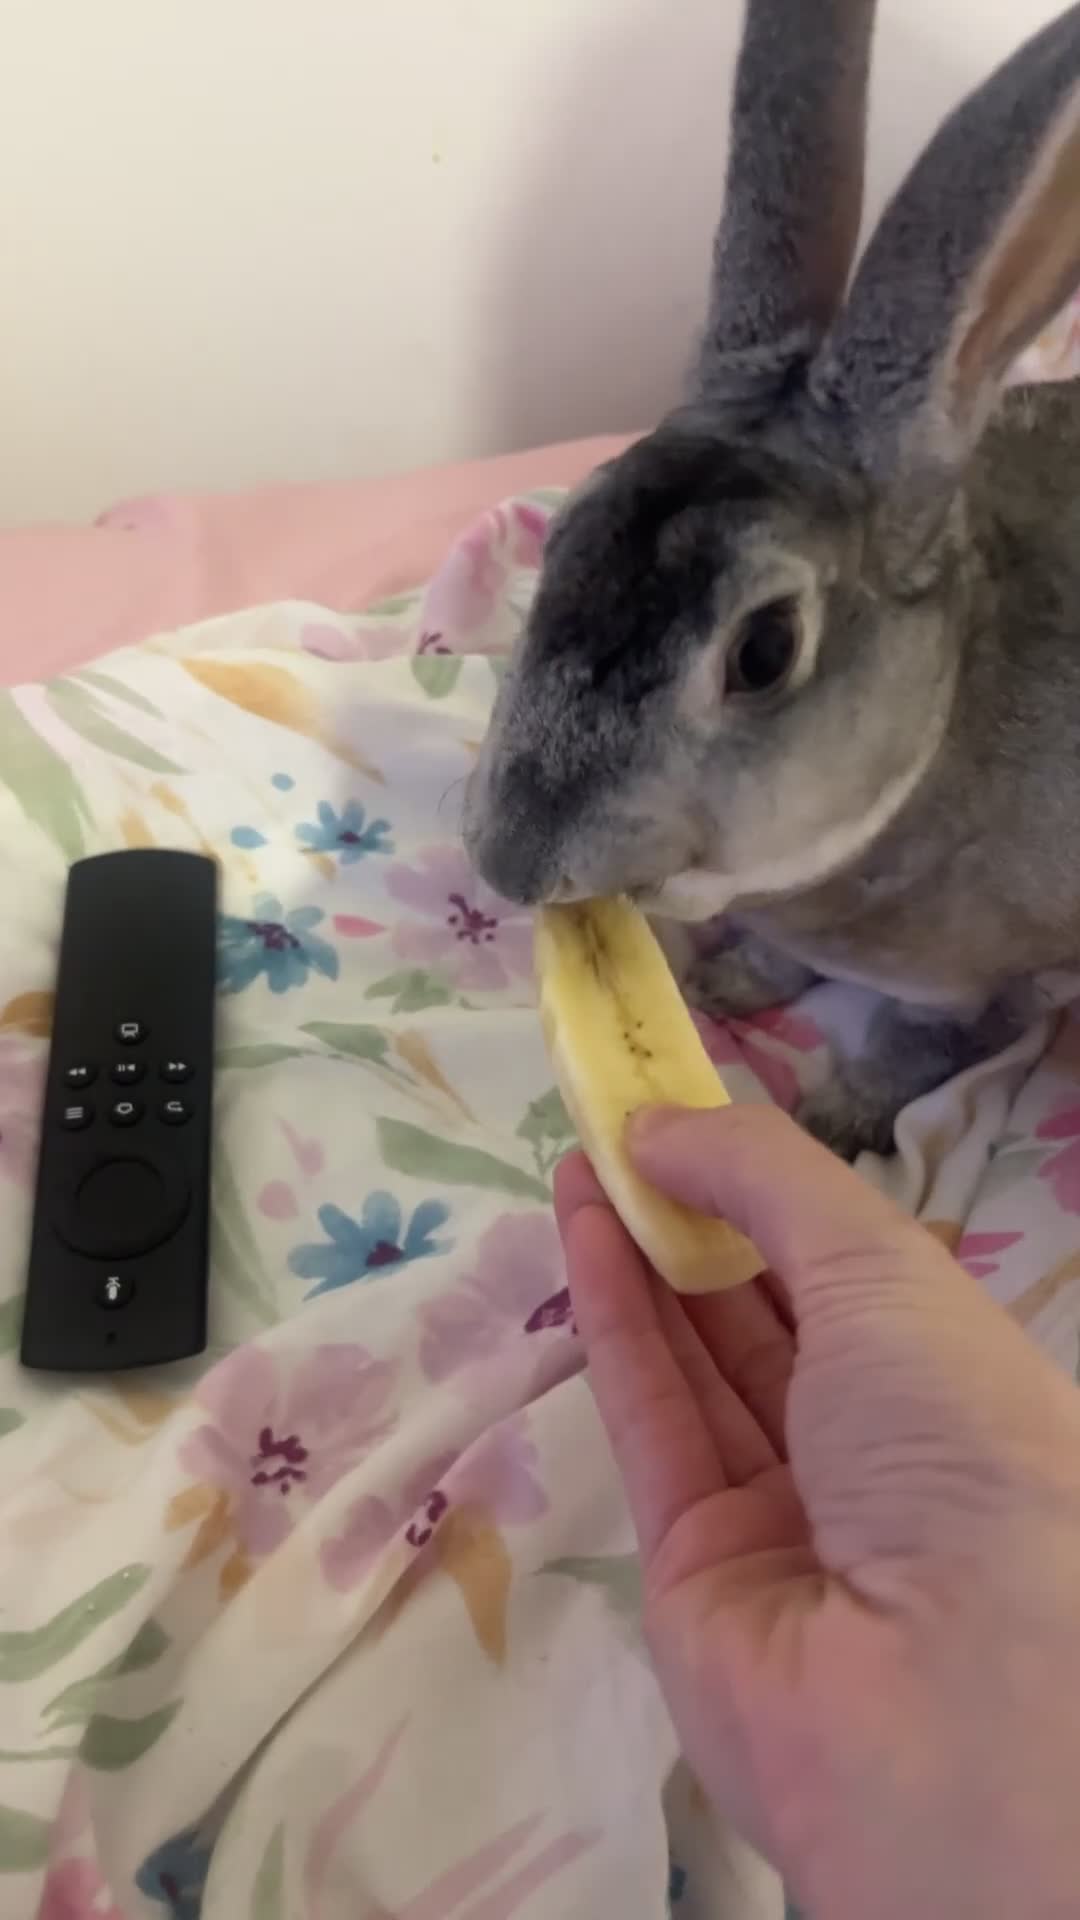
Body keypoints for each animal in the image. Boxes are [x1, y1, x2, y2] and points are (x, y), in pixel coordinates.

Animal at [464, 0, 1080, 1161]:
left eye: (763, 653)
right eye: (567, 536)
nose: (513, 862)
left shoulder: (973, 986)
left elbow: (928, 1045)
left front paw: (839, 1117)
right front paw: (736, 981)